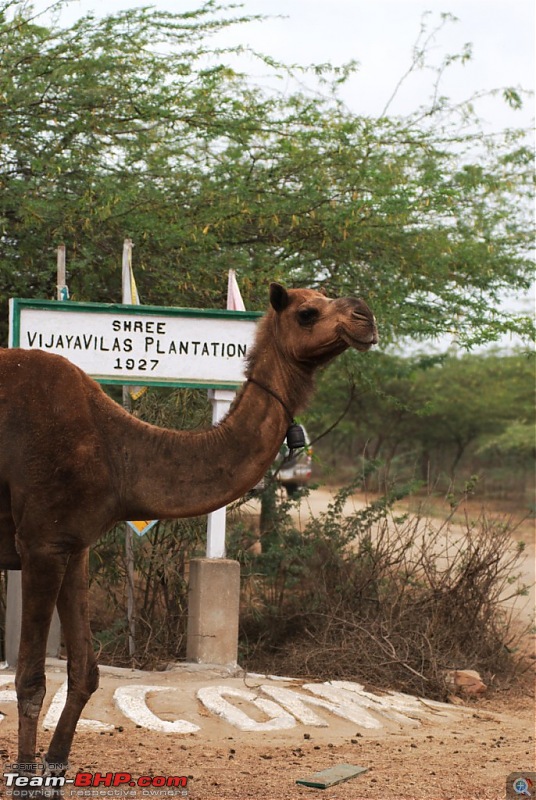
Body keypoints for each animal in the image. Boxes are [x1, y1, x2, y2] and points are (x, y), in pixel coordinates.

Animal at [0, 282, 376, 776]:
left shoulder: (73, 544)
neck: (118, 454)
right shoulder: (42, 544)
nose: (365, 316)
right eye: (307, 311)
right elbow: (30, 680)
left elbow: (85, 674)